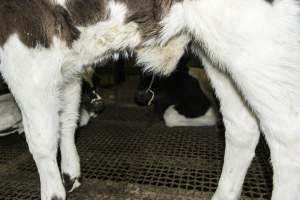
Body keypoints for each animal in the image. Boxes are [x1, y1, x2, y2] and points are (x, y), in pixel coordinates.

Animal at [0, 0, 298, 200]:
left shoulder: (25, 48)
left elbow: (41, 140)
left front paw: (53, 191)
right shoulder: (69, 64)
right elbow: (68, 118)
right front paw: (70, 175)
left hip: (261, 48)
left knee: (287, 141)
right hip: (219, 53)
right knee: (241, 127)